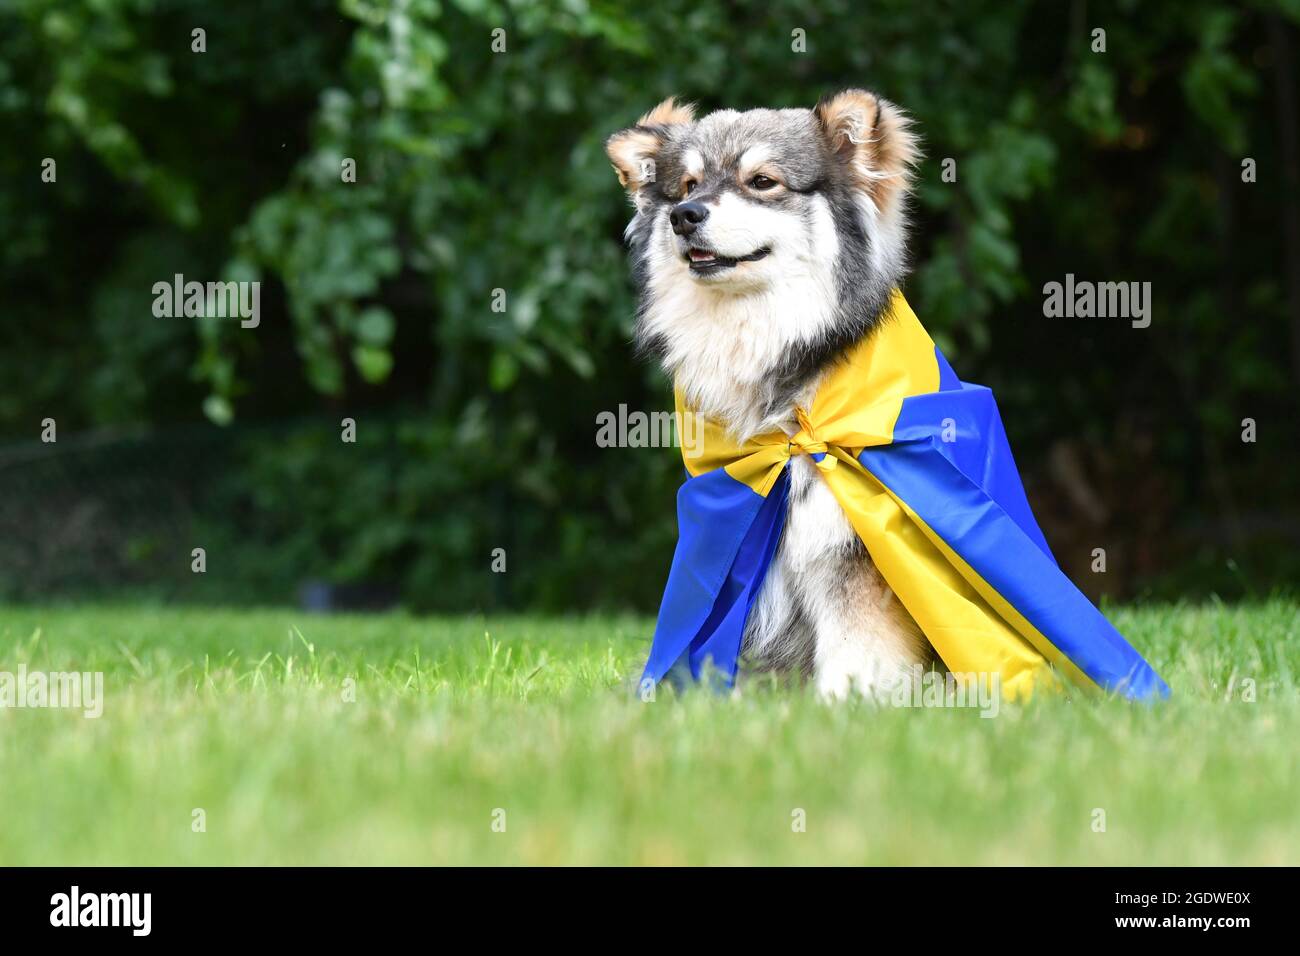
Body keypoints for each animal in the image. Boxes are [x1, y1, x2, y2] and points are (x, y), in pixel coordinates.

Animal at [608, 91, 935, 702]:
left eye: (762, 182)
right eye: (686, 186)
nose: (685, 216)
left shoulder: (849, 546)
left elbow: (858, 648)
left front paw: (848, 704)